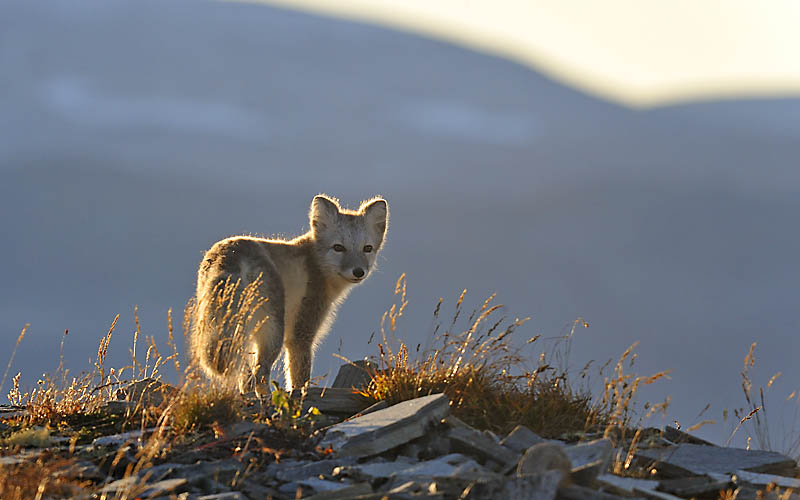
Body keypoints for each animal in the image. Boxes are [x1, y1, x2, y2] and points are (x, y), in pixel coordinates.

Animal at [188, 195, 388, 394]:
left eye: (367, 248)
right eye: (338, 247)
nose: (359, 272)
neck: (316, 262)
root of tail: (232, 254)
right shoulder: (301, 335)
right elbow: (299, 380)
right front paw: (300, 393)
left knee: (246, 376)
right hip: (273, 331)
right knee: (260, 372)